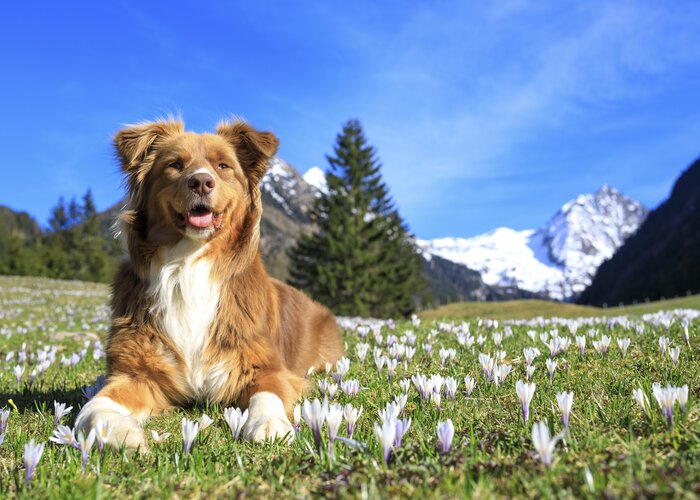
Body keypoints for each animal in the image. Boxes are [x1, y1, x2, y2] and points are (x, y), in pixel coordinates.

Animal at [74, 118, 344, 450]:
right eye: (175, 165)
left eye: (223, 166)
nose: (201, 182)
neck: (189, 265)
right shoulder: (136, 374)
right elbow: (94, 407)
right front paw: (115, 431)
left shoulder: (266, 366)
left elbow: (268, 394)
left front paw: (269, 423)